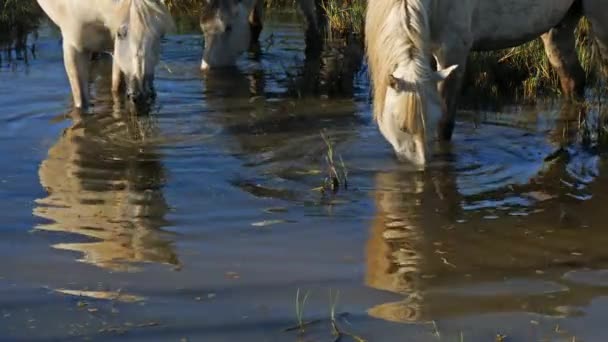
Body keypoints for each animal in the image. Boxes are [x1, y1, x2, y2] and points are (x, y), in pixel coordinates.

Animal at [37, 0, 173, 107]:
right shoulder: (73, 48)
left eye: (161, 36)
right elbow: (81, 101)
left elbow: (117, 87)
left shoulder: (114, 49)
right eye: (120, 34)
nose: (140, 95)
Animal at [366, 0, 608, 166]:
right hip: (560, 24)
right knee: (573, 82)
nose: (422, 169)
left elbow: (446, 125)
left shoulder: (453, 52)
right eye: (402, 127)